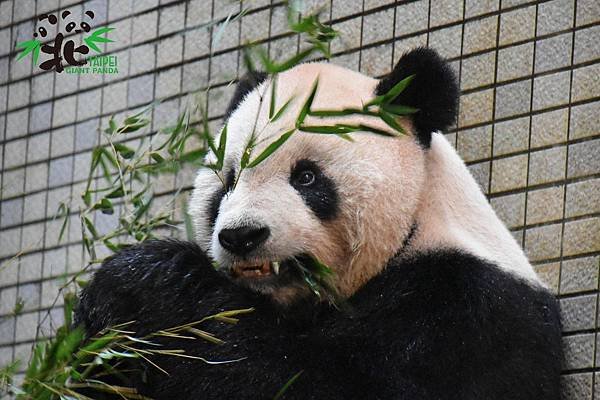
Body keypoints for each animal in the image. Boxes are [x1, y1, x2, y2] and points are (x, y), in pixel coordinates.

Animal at [75, 48, 564, 398]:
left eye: (307, 177)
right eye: (229, 181)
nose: (242, 236)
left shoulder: (462, 316)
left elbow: (305, 382)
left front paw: (147, 279)